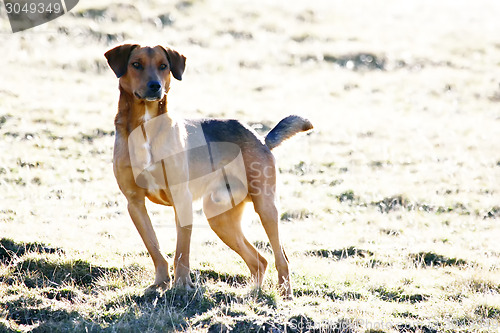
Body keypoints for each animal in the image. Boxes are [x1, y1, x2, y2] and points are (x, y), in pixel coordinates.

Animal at [103, 43, 310, 296]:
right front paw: (160, 284)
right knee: (259, 260)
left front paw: (182, 285)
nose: (155, 86)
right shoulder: (135, 203)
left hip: (265, 206)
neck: (146, 127)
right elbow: (155, 248)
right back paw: (253, 293)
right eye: (136, 64)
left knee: (281, 257)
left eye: (163, 66)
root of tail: (260, 138)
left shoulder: (181, 199)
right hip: (219, 218)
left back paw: (284, 293)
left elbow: (181, 251)